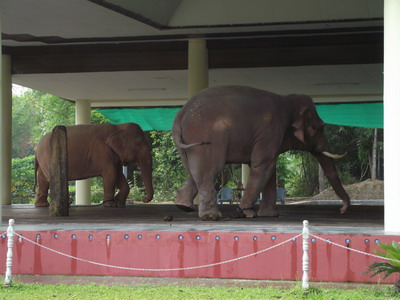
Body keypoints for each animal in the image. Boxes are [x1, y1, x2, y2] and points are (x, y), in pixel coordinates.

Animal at [172, 85, 350, 219]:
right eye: (320, 128)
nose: (341, 210)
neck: (288, 101)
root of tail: (181, 112)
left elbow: (269, 169)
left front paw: (268, 215)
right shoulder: (270, 131)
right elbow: (262, 165)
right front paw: (244, 212)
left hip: (188, 142)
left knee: (196, 171)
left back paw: (183, 206)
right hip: (206, 135)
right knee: (211, 169)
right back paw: (211, 216)